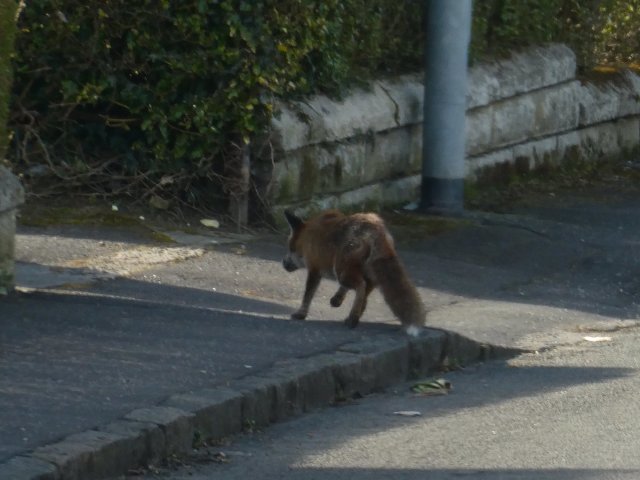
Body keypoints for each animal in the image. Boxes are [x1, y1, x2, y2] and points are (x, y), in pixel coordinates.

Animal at [282, 208, 424, 336]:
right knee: (364, 297)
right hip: (367, 275)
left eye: (290, 249)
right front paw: (337, 299)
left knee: (360, 286)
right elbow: (342, 289)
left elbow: (307, 295)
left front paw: (301, 314)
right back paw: (354, 315)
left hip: (341, 270)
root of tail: (374, 229)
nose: (283, 263)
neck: (307, 237)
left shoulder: (314, 269)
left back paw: (353, 319)